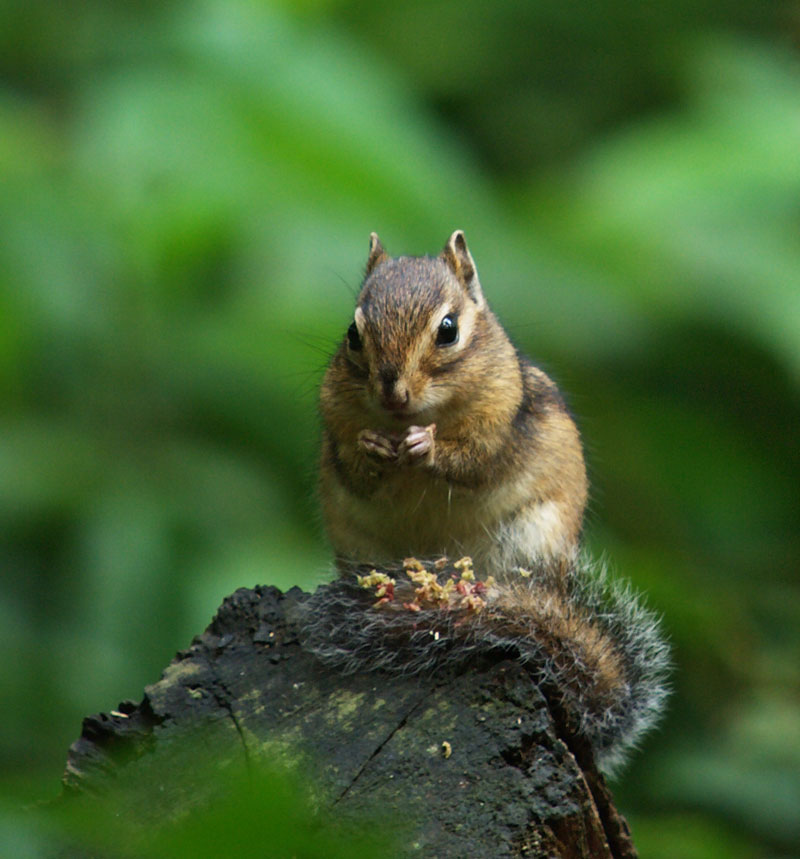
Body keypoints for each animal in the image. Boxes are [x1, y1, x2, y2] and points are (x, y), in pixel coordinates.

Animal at [303, 231, 669, 774]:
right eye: (352, 333)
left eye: (448, 330)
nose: (392, 393)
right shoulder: (336, 420)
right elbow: (356, 469)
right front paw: (374, 447)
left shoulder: (500, 421)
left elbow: (476, 462)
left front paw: (427, 447)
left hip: (527, 543)